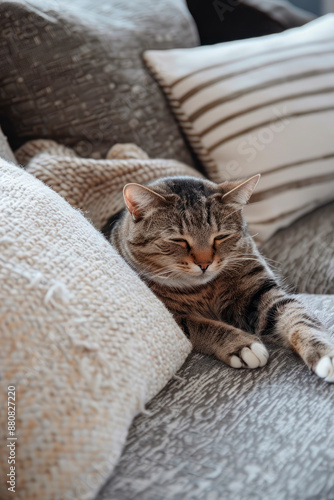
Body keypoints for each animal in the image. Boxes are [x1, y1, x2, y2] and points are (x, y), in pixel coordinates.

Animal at [107, 176, 334, 382]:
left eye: (220, 237)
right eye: (178, 240)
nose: (204, 263)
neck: (203, 289)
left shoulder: (261, 292)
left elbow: (298, 316)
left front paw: (324, 352)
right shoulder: (175, 319)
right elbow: (204, 326)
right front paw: (242, 345)